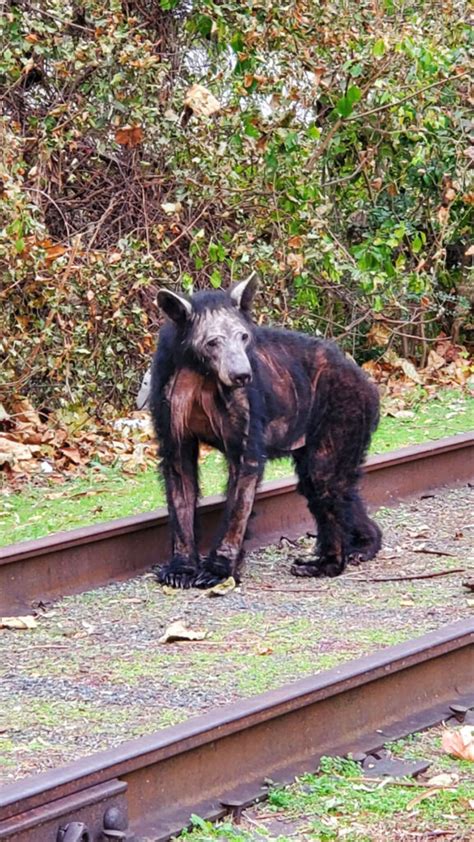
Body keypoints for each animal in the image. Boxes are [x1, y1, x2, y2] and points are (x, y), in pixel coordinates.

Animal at [152, 272, 382, 588]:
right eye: (213, 342)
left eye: (244, 336)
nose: (241, 374)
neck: (202, 373)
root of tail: (368, 384)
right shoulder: (170, 400)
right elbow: (179, 475)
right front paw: (180, 569)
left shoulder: (245, 404)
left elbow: (243, 478)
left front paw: (217, 570)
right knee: (325, 485)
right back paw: (363, 545)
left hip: (343, 409)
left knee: (325, 478)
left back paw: (326, 562)